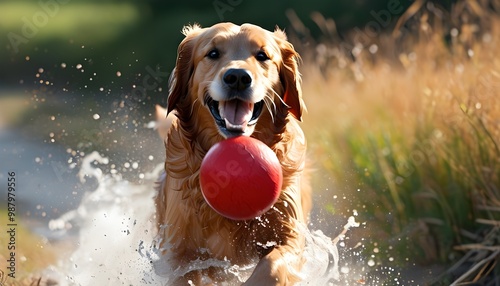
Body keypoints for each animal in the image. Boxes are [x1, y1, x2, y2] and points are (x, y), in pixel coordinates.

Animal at [156, 22, 310, 286]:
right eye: (213, 53)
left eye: (262, 55)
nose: (237, 77)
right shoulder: (179, 251)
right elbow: (186, 274)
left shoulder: (291, 234)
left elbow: (273, 265)